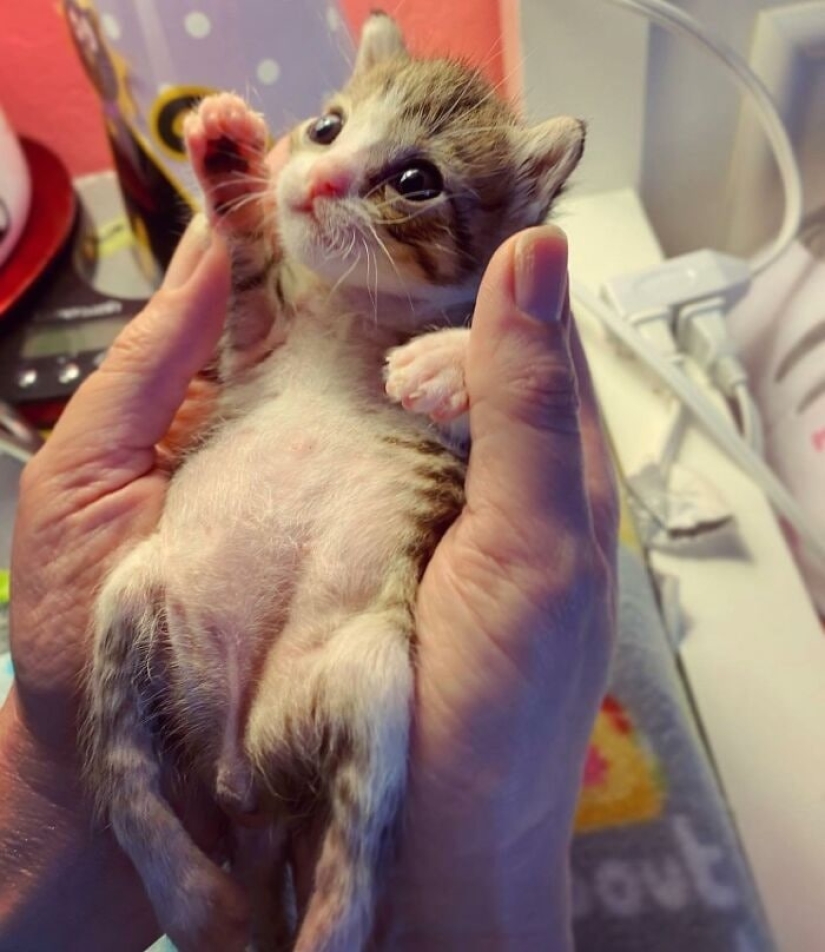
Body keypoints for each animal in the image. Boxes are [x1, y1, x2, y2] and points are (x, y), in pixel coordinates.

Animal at [83, 9, 584, 952]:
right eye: (327, 127)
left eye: (416, 180)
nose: (316, 180)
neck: (354, 308)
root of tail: (241, 775)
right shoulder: (252, 333)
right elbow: (245, 251)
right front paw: (222, 153)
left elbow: (480, 355)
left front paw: (441, 359)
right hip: (131, 601)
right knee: (125, 778)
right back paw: (190, 894)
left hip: (372, 677)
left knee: (355, 848)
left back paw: (315, 921)